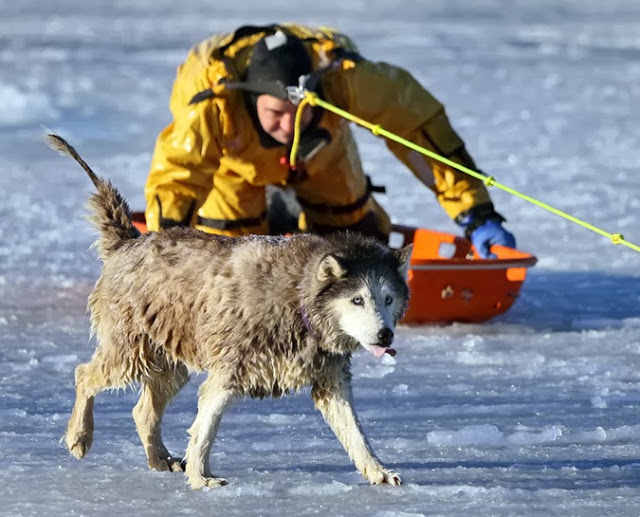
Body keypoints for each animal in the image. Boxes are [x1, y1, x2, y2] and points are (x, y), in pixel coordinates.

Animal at [47, 132, 412, 488]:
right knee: (83, 375)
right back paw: (79, 436)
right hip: (131, 352)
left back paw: (159, 459)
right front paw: (201, 476)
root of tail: (130, 240)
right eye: (357, 300)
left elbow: (356, 435)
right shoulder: (228, 370)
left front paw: (378, 471)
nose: (385, 335)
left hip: (167, 362)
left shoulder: (330, 379)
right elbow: (205, 428)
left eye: (388, 299)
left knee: (143, 411)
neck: (298, 300)